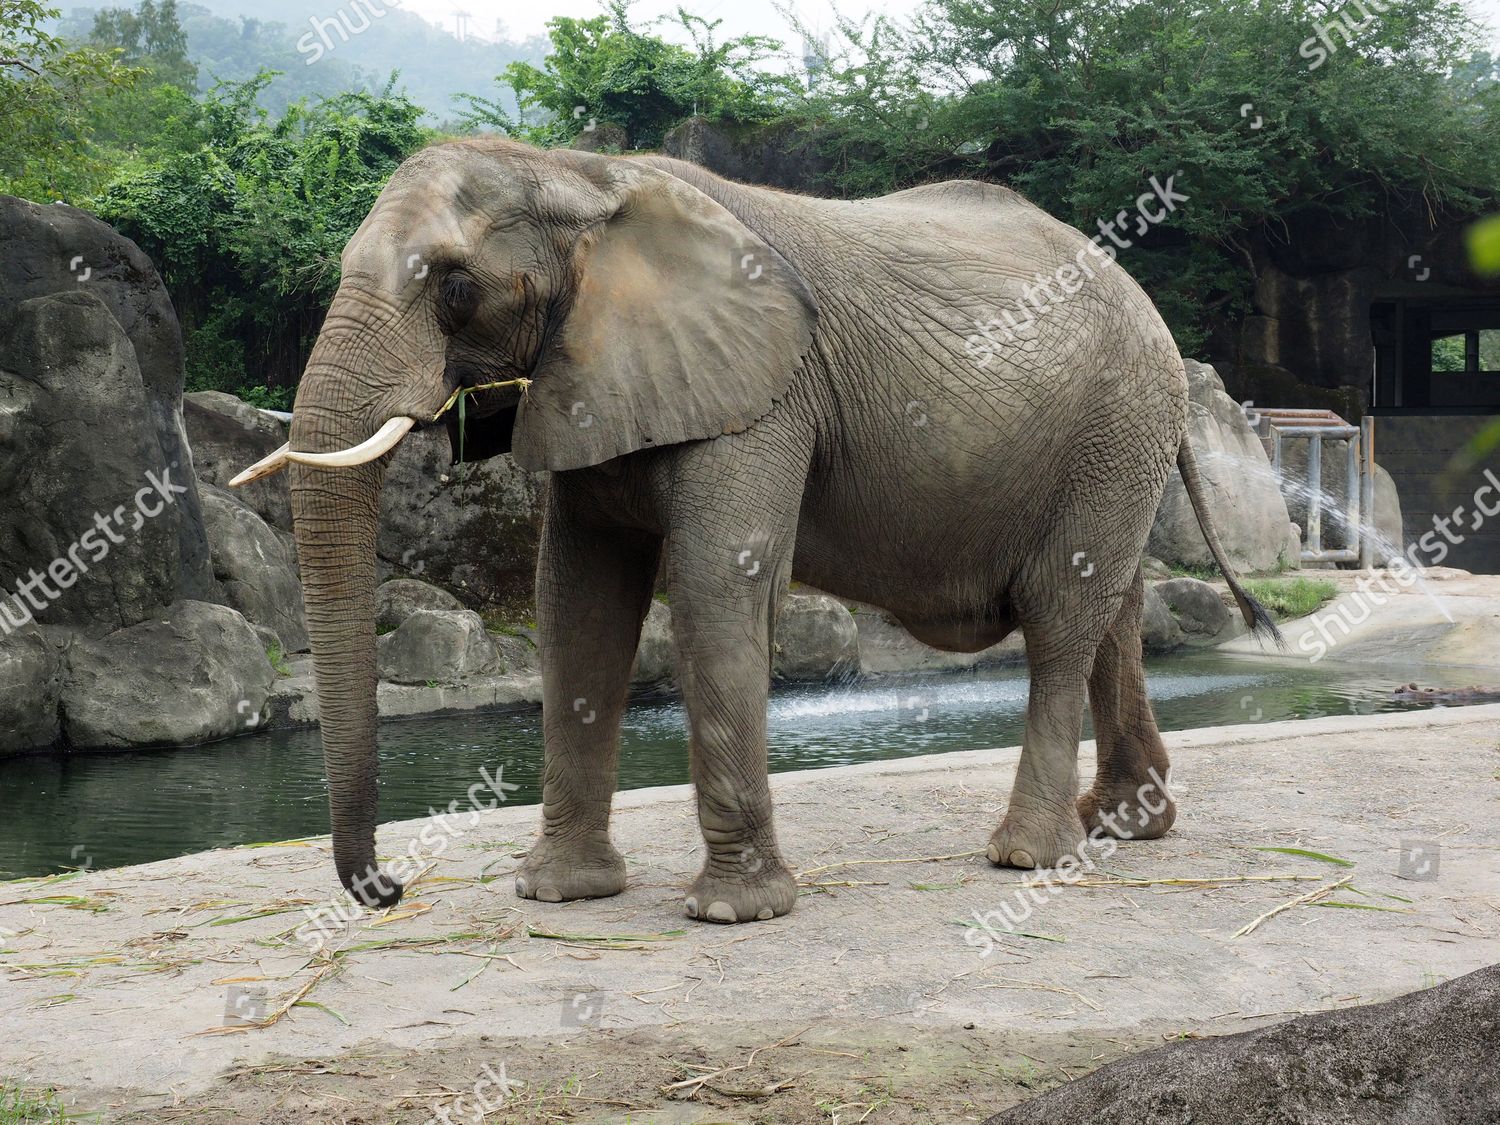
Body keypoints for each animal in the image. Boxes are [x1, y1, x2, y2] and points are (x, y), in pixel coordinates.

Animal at [231, 134, 1278, 924]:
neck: (581, 175)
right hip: (1113, 444)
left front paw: (736, 911)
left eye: (452, 287)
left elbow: (711, 584)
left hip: (1113, 422)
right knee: (1115, 610)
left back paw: (1030, 857)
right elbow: (577, 602)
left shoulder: (766, 396)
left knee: (1065, 616)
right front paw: (559, 895)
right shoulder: (592, 375)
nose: (386, 889)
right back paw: (1127, 824)